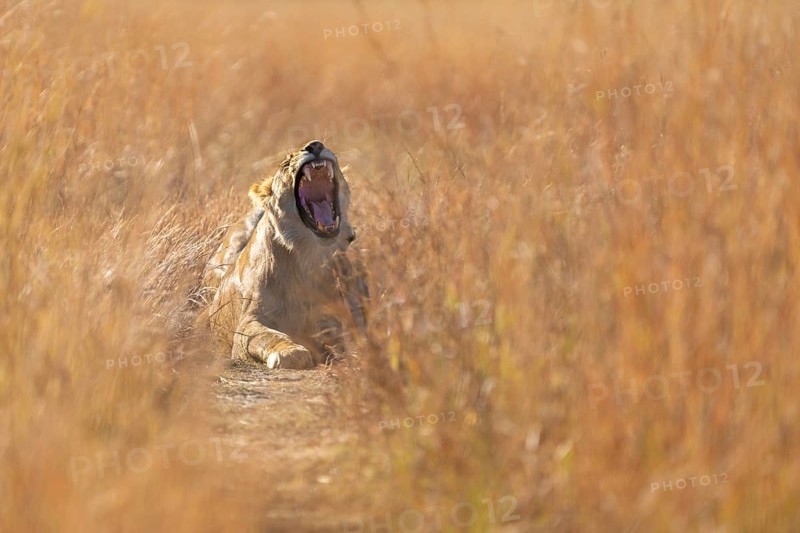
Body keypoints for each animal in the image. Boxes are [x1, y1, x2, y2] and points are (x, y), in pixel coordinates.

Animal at [202, 140, 367, 369]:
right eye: (285, 163)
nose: (315, 145)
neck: (308, 258)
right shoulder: (248, 323)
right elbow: (267, 336)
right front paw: (290, 352)